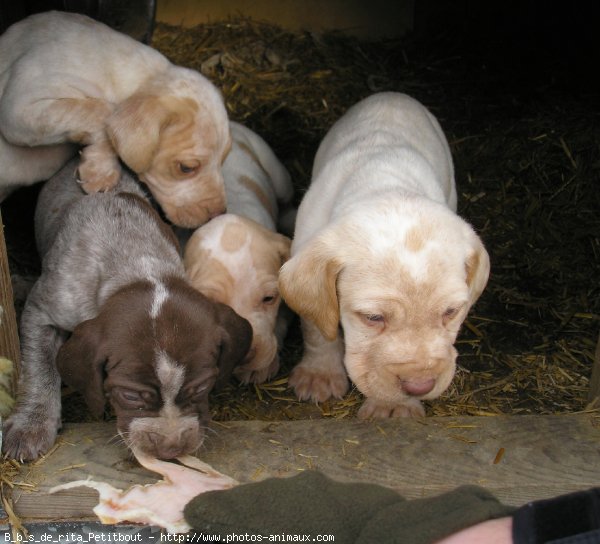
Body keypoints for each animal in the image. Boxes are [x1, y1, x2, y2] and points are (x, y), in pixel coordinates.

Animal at [0, 10, 230, 227]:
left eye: (223, 160)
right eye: (186, 168)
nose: (219, 214)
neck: (146, 76)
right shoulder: (19, 107)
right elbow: (102, 110)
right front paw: (100, 172)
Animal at [1, 159, 251, 462]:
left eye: (202, 387)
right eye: (129, 396)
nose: (170, 448)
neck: (138, 265)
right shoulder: (44, 311)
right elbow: (40, 368)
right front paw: (31, 424)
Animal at [278, 93, 490, 418]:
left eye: (451, 312)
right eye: (373, 317)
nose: (419, 386)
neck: (382, 183)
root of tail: (393, 95)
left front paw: (393, 406)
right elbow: (318, 327)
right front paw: (319, 375)